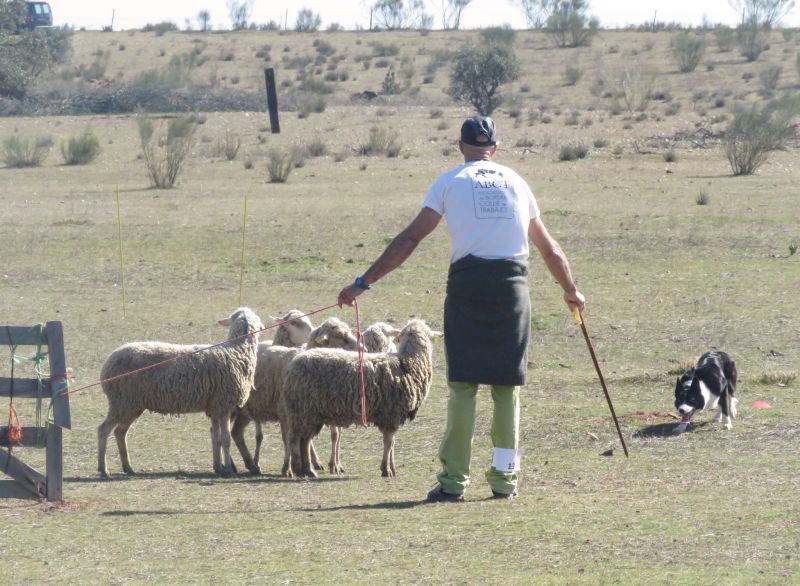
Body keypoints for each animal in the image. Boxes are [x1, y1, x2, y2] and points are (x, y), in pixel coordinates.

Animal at [97, 306, 262, 474]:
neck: (238, 351)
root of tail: (107, 364)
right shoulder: (223, 406)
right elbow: (226, 440)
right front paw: (227, 469)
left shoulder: (214, 408)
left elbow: (216, 439)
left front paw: (218, 467)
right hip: (122, 402)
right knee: (103, 430)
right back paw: (103, 469)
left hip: (131, 405)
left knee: (119, 432)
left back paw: (128, 467)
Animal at [230, 314, 358, 474]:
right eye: (340, 336)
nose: (363, 348)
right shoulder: (286, 413)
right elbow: (289, 439)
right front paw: (289, 468)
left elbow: (332, 436)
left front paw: (330, 465)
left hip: (246, 410)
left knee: (236, 432)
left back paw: (250, 465)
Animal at [282, 318, 444, 476]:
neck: (409, 363)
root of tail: (293, 364)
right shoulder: (391, 414)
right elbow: (389, 442)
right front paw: (386, 469)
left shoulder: (392, 416)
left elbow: (392, 443)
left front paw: (391, 467)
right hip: (304, 411)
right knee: (296, 439)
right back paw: (301, 468)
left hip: (307, 413)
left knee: (303, 440)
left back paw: (306, 470)